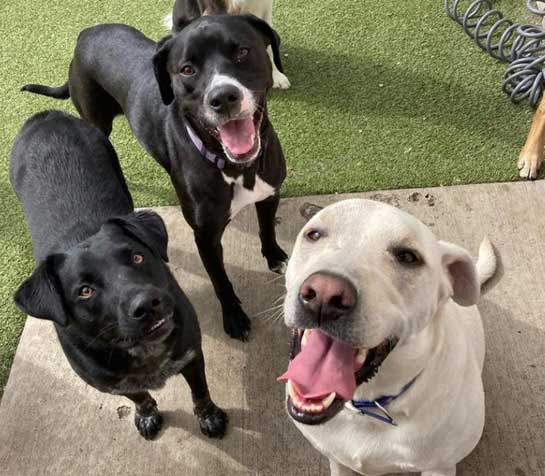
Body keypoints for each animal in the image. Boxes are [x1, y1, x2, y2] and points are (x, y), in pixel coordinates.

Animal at [10, 109, 227, 440]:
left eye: (138, 256)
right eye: (84, 290)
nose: (148, 304)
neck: (142, 351)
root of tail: (46, 116)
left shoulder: (191, 353)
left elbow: (200, 391)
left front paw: (209, 417)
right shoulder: (109, 383)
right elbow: (139, 396)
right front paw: (147, 414)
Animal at [23, 13, 288, 342]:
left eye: (242, 51)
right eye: (187, 69)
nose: (223, 97)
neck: (236, 168)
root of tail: (86, 32)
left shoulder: (270, 193)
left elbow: (267, 229)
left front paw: (276, 257)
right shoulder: (206, 237)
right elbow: (221, 280)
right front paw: (234, 317)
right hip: (95, 120)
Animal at [280, 198, 498, 476]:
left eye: (407, 257)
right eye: (314, 234)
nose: (325, 295)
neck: (367, 405)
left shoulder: (440, 467)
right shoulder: (337, 460)